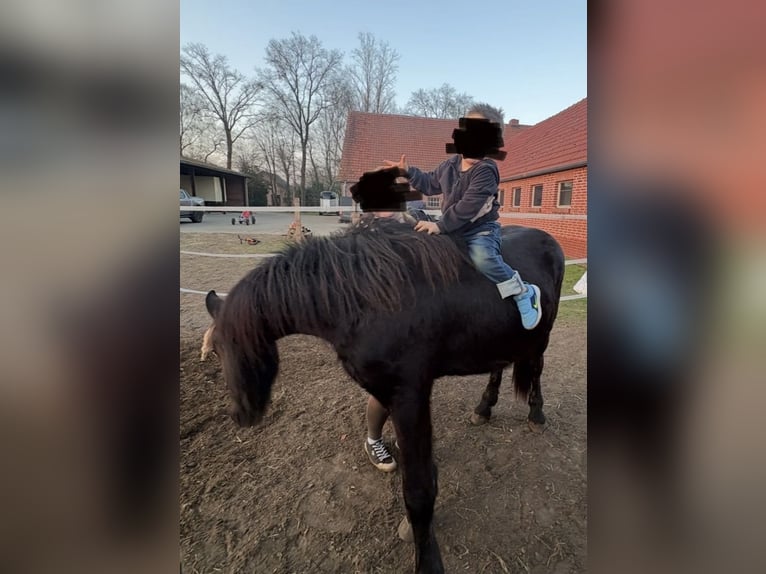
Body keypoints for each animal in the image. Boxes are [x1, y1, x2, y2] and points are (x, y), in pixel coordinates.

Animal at [202, 218, 565, 574]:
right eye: (215, 350)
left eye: (249, 344)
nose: (241, 414)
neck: (363, 300)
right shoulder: (387, 391)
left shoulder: (410, 396)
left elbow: (418, 490)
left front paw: (427, 561)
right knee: (498, 367)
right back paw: (484, 407)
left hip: (541, 336)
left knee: (537, 369)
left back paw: (536, 415)